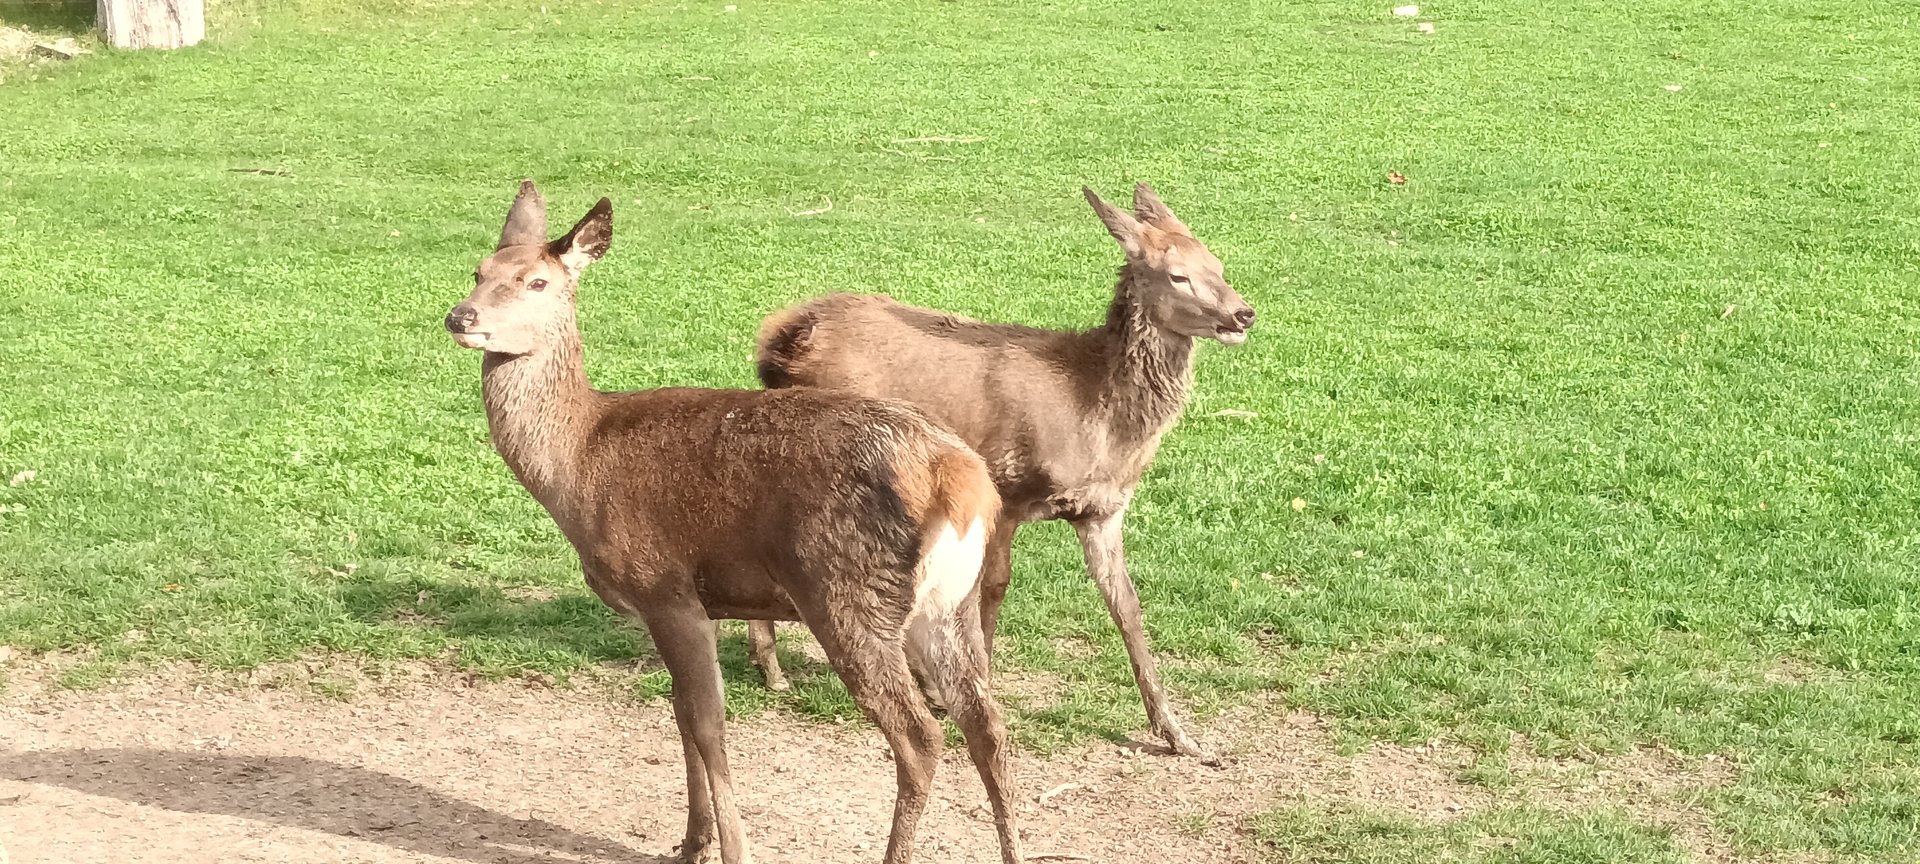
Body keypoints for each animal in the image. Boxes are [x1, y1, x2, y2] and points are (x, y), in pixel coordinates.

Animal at [442, 181, 1024, 864]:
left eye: (536, 282)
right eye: (478, 270)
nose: (461, 317)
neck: (579, 460)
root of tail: (960, 480)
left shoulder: (664, 585)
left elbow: (706, 722)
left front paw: (727, 847)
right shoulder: (681, 604)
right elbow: (678, 712)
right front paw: (689, 843)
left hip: (847, 591)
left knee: (921, 735)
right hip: (947, 603)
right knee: (987, 721)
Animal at [745, 184, 1254, 763]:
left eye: (1218, 263)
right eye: (1177, 275)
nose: (1243, 313)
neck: (1096, 417)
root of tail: (778, 341)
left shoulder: (1104, 510)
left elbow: (1126, 604)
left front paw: (1180, 734)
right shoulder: (1008, 488)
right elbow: (993, 587)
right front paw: (975, 686)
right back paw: (774, 667)